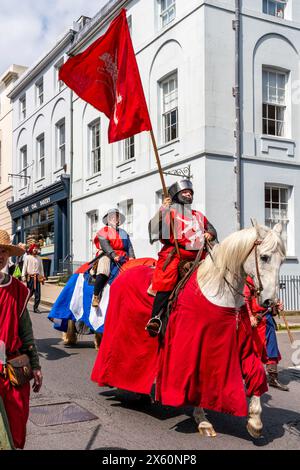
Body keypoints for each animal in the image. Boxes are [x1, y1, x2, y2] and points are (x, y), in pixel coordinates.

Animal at [193, 222, 284, 438]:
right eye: (264, 257)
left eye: (283, 261)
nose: (271, 303)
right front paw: (202, 419)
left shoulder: (243, 344)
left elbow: (256, 371)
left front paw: (255, 420)